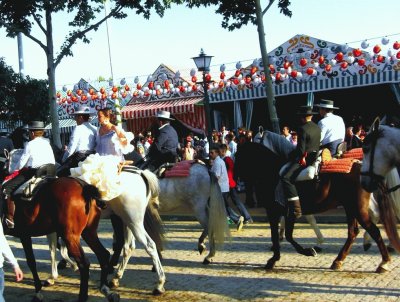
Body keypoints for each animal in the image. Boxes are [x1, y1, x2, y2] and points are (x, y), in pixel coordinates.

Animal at [234, 131, 400, 272]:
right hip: (351, 207)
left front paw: (283, 256)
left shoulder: (275, 210)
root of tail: (361, 167)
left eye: (238, 154)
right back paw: (339, 260)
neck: (273, 169)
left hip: (357, 208)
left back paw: (383, 262)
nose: (236, 178)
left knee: (374, 230)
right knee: (355, 231)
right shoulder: (287, 211)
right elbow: (288, 232)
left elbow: (282, 235)